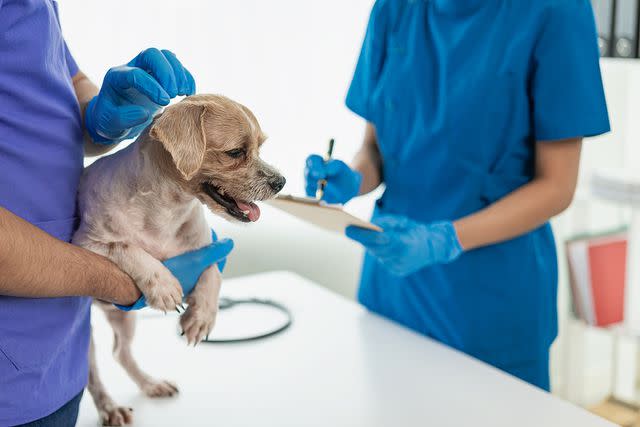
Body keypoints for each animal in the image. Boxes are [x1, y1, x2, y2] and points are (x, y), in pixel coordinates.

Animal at [71, 95, 284, 426]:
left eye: (260, 147)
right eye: (236, 152)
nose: (281, 182)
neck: (167, 211)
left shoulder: (207, 246)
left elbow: (212, 273)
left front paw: (202, 315)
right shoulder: (86, 242)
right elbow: (125, 247)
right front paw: (162, 283)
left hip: (124, 320)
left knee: (121, 352)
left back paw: (150, 384)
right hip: (86, 339)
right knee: (92, 376)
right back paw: (110, 407)